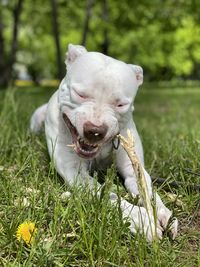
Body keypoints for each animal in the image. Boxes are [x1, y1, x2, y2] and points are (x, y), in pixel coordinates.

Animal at [30, 44, 177, 243]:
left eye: (121, 104)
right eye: (80, 94)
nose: (95, 130)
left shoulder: (133, 167)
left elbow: (148, 191)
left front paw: (161, 211)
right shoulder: (76, 174)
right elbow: (109, 196)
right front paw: (141, 219)